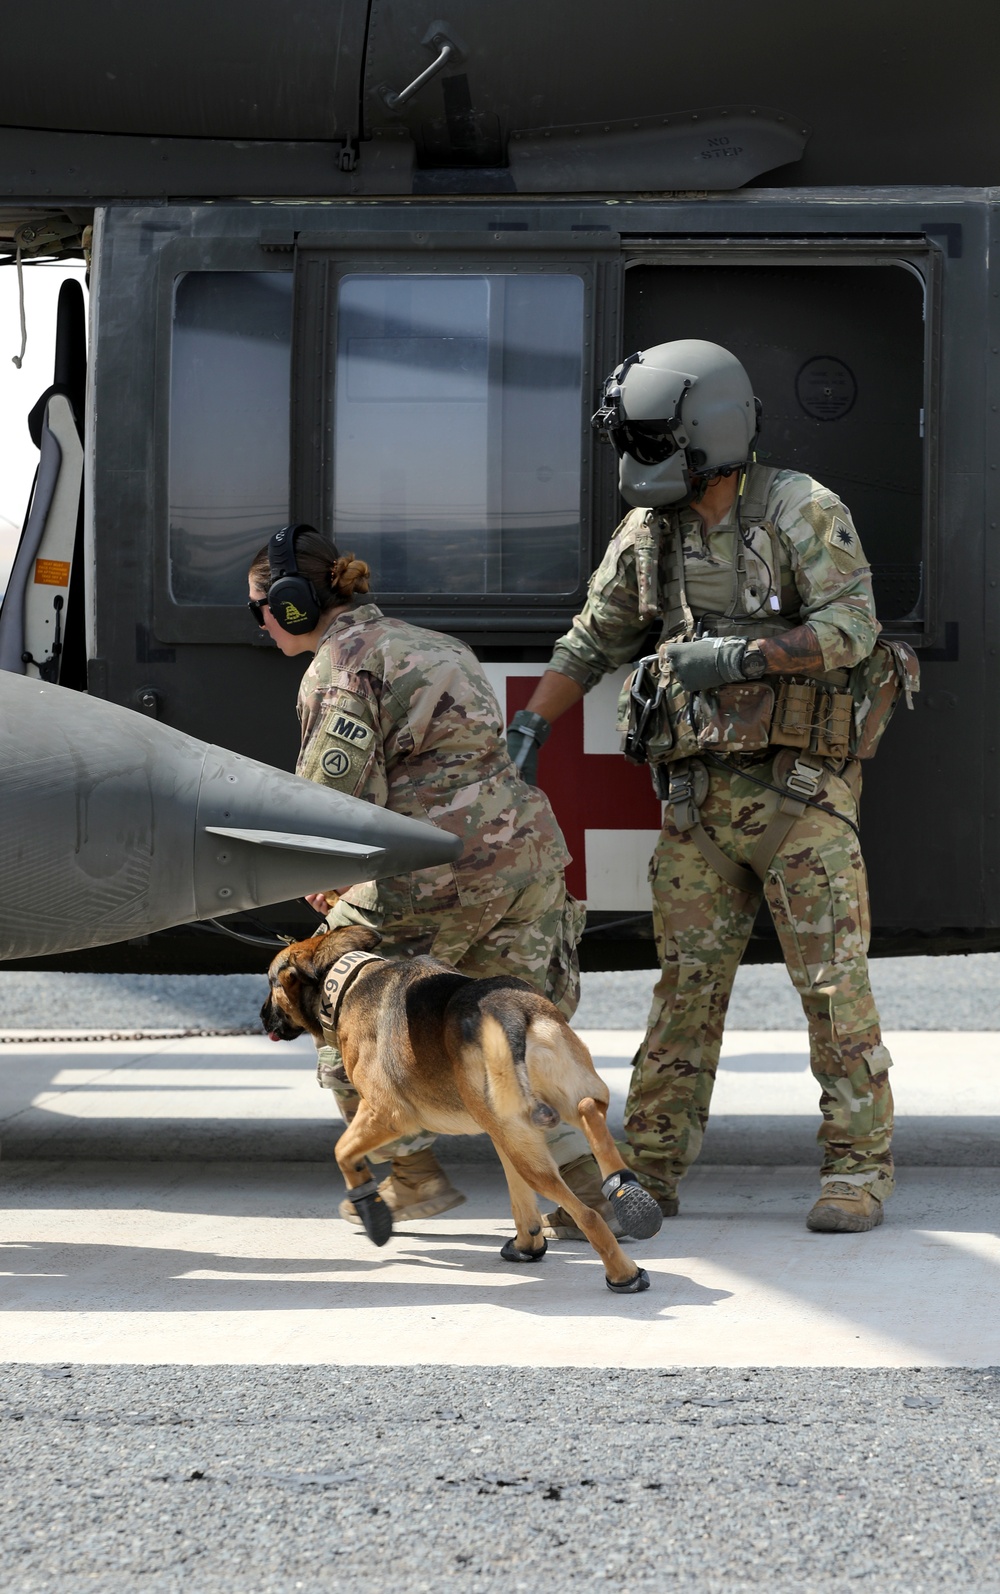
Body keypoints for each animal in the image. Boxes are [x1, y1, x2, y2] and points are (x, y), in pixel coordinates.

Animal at [261, 930, 660, 1287]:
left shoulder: (385, 1115)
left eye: (270, 983)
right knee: (591, 1111)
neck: (345, 982)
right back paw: (625, 1191)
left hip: (522, 1142)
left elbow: (342, 1152)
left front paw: (371, 1209)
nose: (262, 1017)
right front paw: (528, 1243)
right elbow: (519, 1199)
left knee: (588, 1215)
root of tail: (509, 1011)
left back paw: (622, 1273)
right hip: (535, 1116)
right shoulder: (500, 1134)